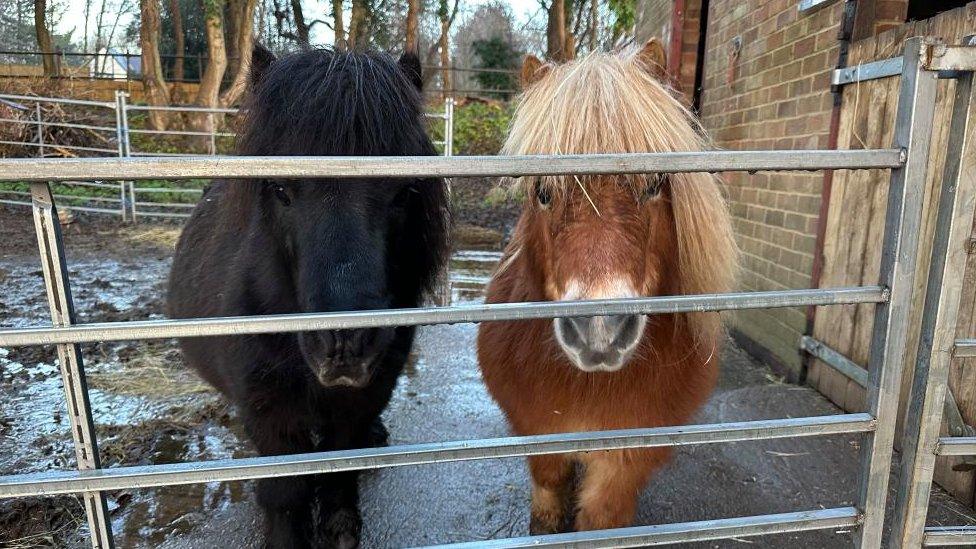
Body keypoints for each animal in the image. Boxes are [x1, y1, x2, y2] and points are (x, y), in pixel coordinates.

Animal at [171, 45, 450, 544]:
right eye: (280, 189)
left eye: (404, 191)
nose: (344, 346)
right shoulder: (269, 411)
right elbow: (286, 491)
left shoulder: (367, 393)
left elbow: (341, 464)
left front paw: (340, 525)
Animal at [476, 40, 736, 532]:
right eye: (543, 192)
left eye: (655, 183)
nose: (599, 330)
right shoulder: (539, 435)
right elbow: (548, 504)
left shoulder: (625, 461)